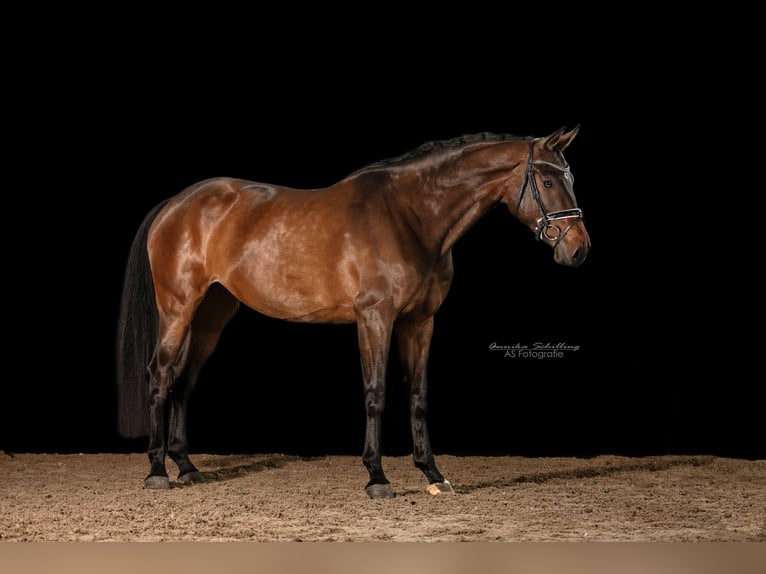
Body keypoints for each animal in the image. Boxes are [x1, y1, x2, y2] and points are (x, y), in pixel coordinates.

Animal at [115, 126, 592, 500]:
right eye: (549, 181)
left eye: (568, 177)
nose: (579, 249)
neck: (410, 216)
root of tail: (175, 204)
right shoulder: (375, 318)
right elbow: (375, 393)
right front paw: (377, 478)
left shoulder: (420, 322)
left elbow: (418, 396)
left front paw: (433, 473)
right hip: (178, 308)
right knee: (160, 374)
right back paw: (157, 471)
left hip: (211, 315)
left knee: (185, 379)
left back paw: (187, 467)